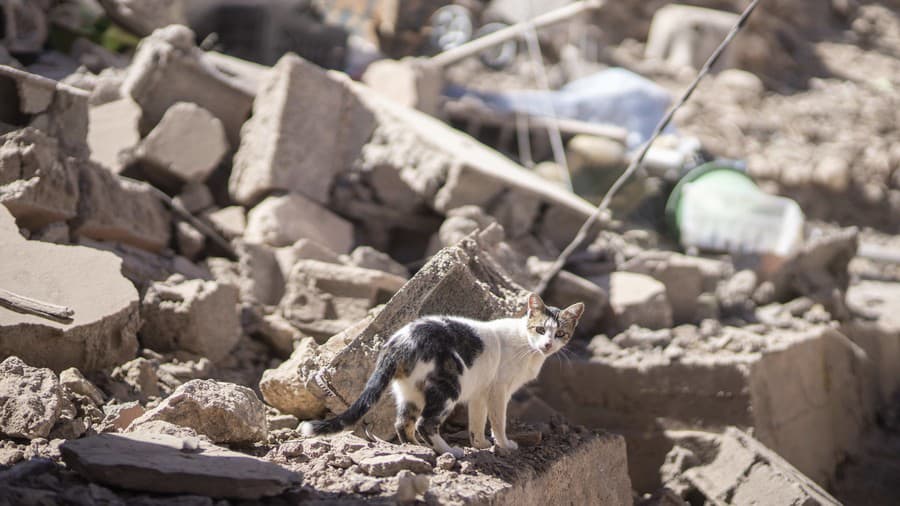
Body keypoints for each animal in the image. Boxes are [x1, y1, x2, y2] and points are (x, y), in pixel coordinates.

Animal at [302, 292, 584, 454]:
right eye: (540, 329)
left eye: (560, 333)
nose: (547, 345)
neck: (528, 347)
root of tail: (400, 340)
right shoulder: (498, 390)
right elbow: (498, 421)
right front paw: (504, 445)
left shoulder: (480, 392)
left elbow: (477, 422)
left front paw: (481, 445)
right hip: (449, 386)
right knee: (425, 423)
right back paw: (450, 451)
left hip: (411, 392)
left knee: (403, 423)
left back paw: (418, 449)